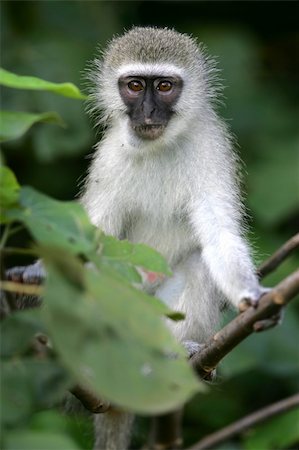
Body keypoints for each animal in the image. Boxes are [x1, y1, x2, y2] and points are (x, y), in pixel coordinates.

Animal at [81, 27, 266, 450]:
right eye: (135, 85)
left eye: (164, 86)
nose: (148, 112)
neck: (158, 146)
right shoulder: (108, 158)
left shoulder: (210, 146)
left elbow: (218, 235)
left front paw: (252, 297)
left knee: (198, 262)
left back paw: (172, 357)